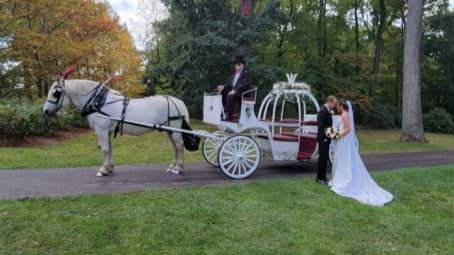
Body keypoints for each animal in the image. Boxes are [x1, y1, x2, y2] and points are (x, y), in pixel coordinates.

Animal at [43, 77, 189, 177]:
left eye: (55, 93)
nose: (45, 111)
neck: (99, 102)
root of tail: (178, 101)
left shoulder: (101, 130)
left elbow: (105, 149)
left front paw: (103, 170)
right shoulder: (106, 131)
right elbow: (109, 148)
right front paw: (110, 168)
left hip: (174, 130)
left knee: (179, 146)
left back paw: (178, 168)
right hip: (169, 130)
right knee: (175, 147)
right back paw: (173, 166)